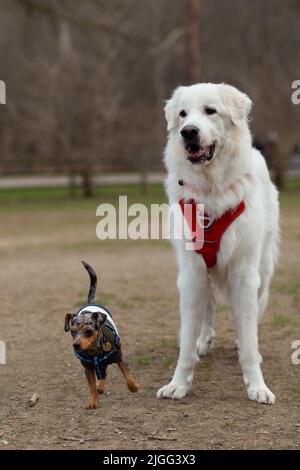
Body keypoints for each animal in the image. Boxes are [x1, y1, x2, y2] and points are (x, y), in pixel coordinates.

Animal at [63, 260, 139, 408]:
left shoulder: (119, 359)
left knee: (106, 371)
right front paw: (93, 401)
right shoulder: (88, 368)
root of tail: (90, 303)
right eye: (73, 332)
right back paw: (101, 387)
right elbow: (92, 386)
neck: (94, 352)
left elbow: (128, 377)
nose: (76, 345)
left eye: (88, 331)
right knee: (104, 373)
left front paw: (134, 387)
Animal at [157, 81, 278, 404]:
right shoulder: (191, 273)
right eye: (183, 114)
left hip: (262, 272)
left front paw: (257, 386)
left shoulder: (245, 275)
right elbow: (187, 339)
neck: (211, 188)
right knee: (208, 308)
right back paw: (204, 340)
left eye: (210, 111)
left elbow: (248, 338)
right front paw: (179, 383)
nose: (188, 131)